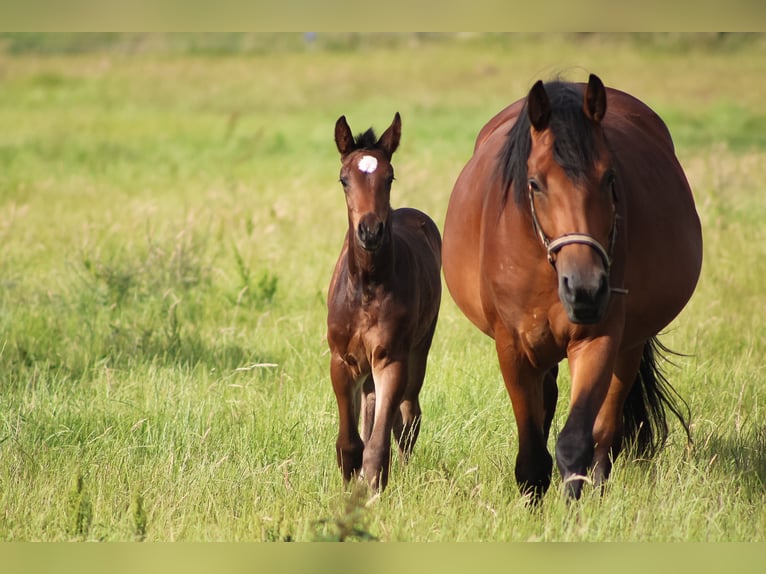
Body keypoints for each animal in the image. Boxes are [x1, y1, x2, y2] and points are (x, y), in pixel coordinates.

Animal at [326, 113, 444, 496]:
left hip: (419, 349)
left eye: (389, 177)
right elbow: (350, 440)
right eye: (344, 179)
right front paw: (352, 484)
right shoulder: (341, 361)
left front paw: (373, 488)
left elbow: (379, 441)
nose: (370, 231)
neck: (367, 287)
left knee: (408, 417)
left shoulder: (392, 359)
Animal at [444, 75, 704, 500]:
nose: (585, 288)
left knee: (607, 426)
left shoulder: (598, 338)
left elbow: (577, 442)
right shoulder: (513, 348)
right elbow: (532, 454)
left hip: (628, 346)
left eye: (610, 177)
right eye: (535, 183)